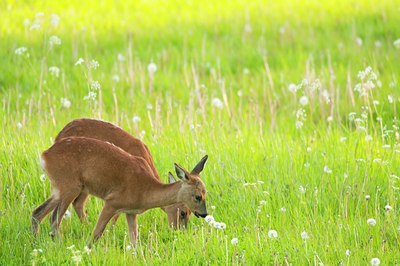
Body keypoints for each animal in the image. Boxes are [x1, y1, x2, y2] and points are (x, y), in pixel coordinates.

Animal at [31, 137, 209, 247]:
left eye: (206, 193)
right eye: (197, 196)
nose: (204, 214)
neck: (145, 189)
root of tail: (44, 155)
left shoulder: (130, 212)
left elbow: (134, 241)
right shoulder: (111, 202)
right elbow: (96, 233)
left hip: (58, 189)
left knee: (37, 213)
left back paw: (36, 243)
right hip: (69, 187)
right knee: (54, 219)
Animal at [54, 118, 191, 229]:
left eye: (190, 213)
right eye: (182, 212)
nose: (179, 231)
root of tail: (58, 137)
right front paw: (110, 231)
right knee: (76, 203)